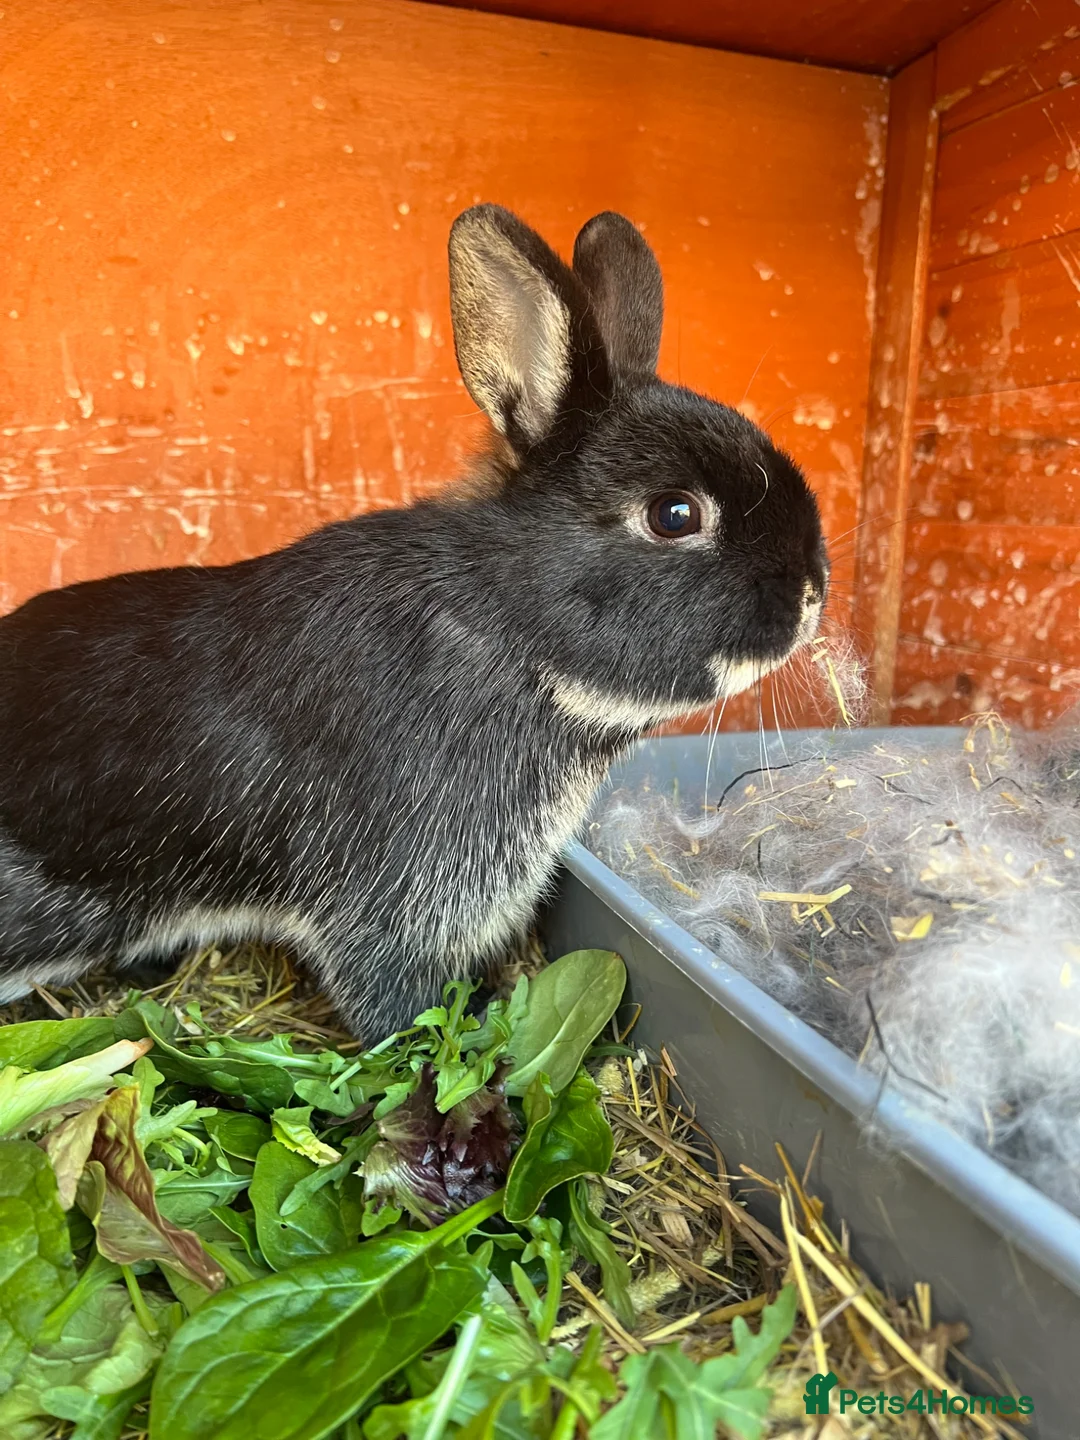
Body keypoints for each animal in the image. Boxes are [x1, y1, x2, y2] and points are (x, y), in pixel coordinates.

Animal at [0, 204, 829, 1041]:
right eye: (674, 515)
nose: (813, 593)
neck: (505, 625)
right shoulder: (397, 890)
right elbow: (388, 995)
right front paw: (447, 1034)